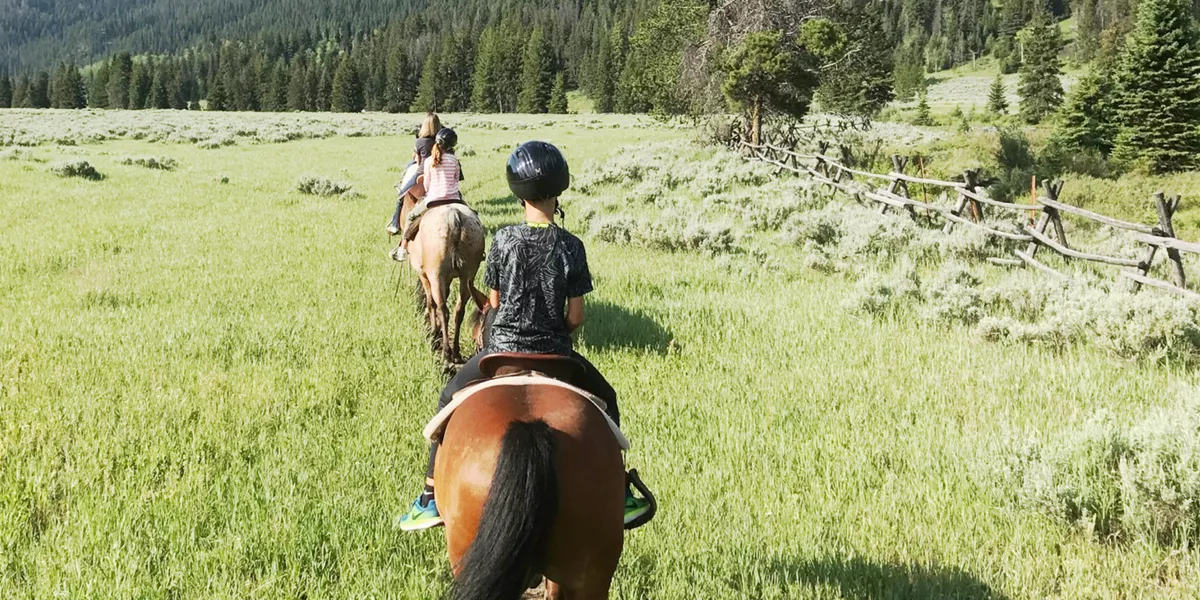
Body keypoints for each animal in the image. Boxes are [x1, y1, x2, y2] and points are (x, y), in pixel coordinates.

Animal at [405, 199, 484, 362]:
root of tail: (454, 216)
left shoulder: (424, 276)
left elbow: (431, 303)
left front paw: (434, 332)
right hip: (468, 276)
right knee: (459, 311)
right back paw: (456, 352)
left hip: (436, 275)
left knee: (443, 309)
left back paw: (446, 352)